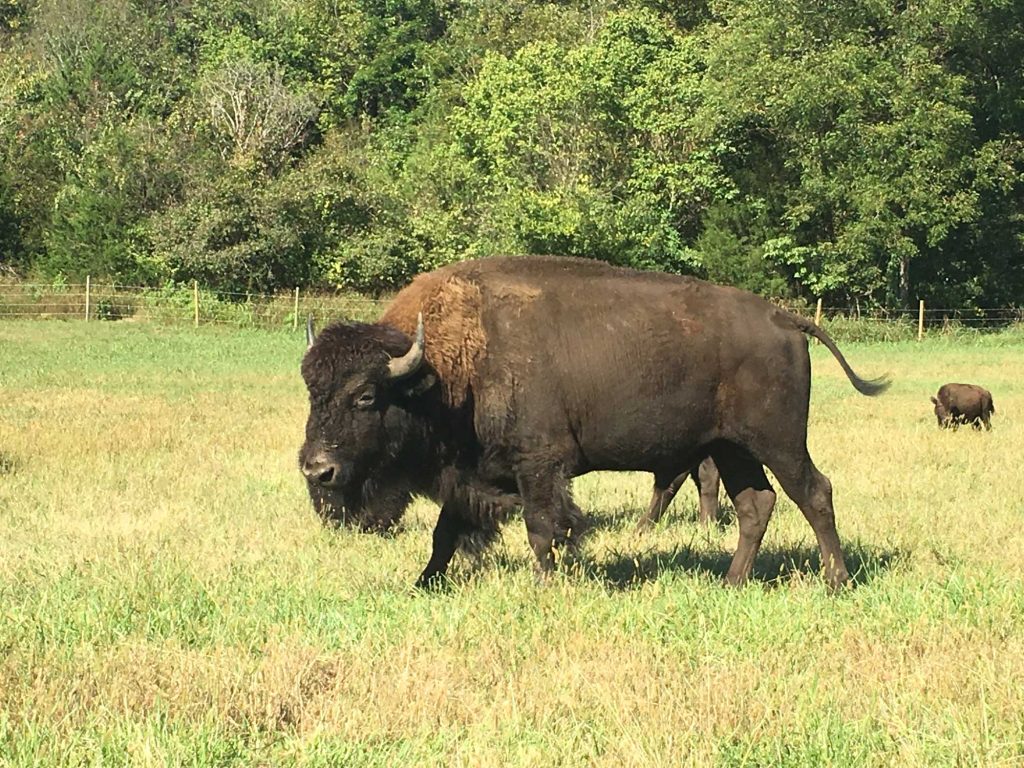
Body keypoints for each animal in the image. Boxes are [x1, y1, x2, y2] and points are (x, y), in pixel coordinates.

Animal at [299, 256, 889, 589]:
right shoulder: (470, 476)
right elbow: (445, 535)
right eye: (311, 389)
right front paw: (423, 585)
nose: (316, 469)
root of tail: (784, 318)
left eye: (365, 396)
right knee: (754, 504)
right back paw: (731, 582)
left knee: (814, 492)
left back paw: (835, 581)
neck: (445, 373)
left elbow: (543, 530)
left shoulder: (539, 466)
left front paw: (546, 587)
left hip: (778, 441)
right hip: (731, 448)